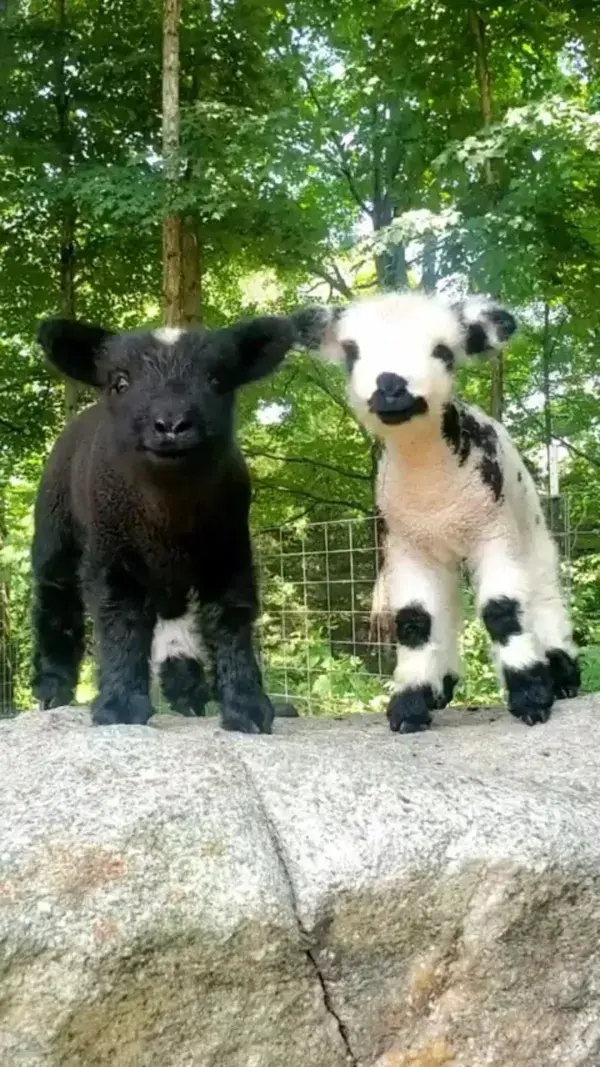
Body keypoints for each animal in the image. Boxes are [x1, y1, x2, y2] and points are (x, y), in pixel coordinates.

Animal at [292, 288, 576, 729]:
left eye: (443, 351)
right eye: (352, 353)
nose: (391, 386)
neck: (430, 486)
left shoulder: (493, 533)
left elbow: (502, 612)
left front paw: (531, 696)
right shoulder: (407, 545)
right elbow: (415, 622)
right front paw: (410, 704)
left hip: (530, 525)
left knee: (544, 594)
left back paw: (562, 677)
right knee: (446, 612)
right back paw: (440, 687)